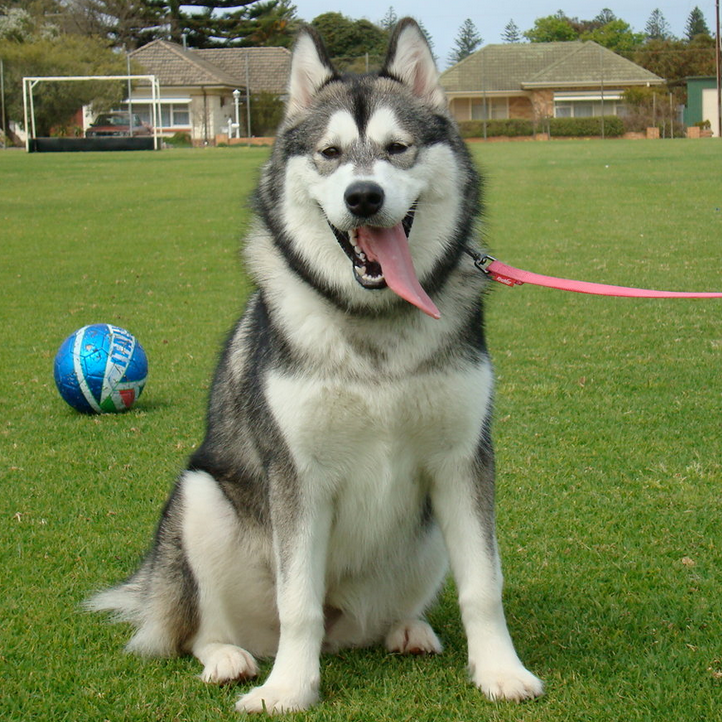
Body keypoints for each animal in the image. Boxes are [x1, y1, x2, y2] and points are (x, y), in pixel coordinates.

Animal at [87, 18, 540, 716]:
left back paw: (408, 627)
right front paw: (289, 690)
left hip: (424, 535)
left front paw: (499, 670)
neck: (374, 321)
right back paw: (226, 657)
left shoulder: (463, 461)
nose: (364, 196)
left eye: (397, 148)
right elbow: (295, 601)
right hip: (199, 498)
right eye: (330, 153)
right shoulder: (298, 474)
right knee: (203, 628)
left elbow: (483, 586)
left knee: (387, 613)